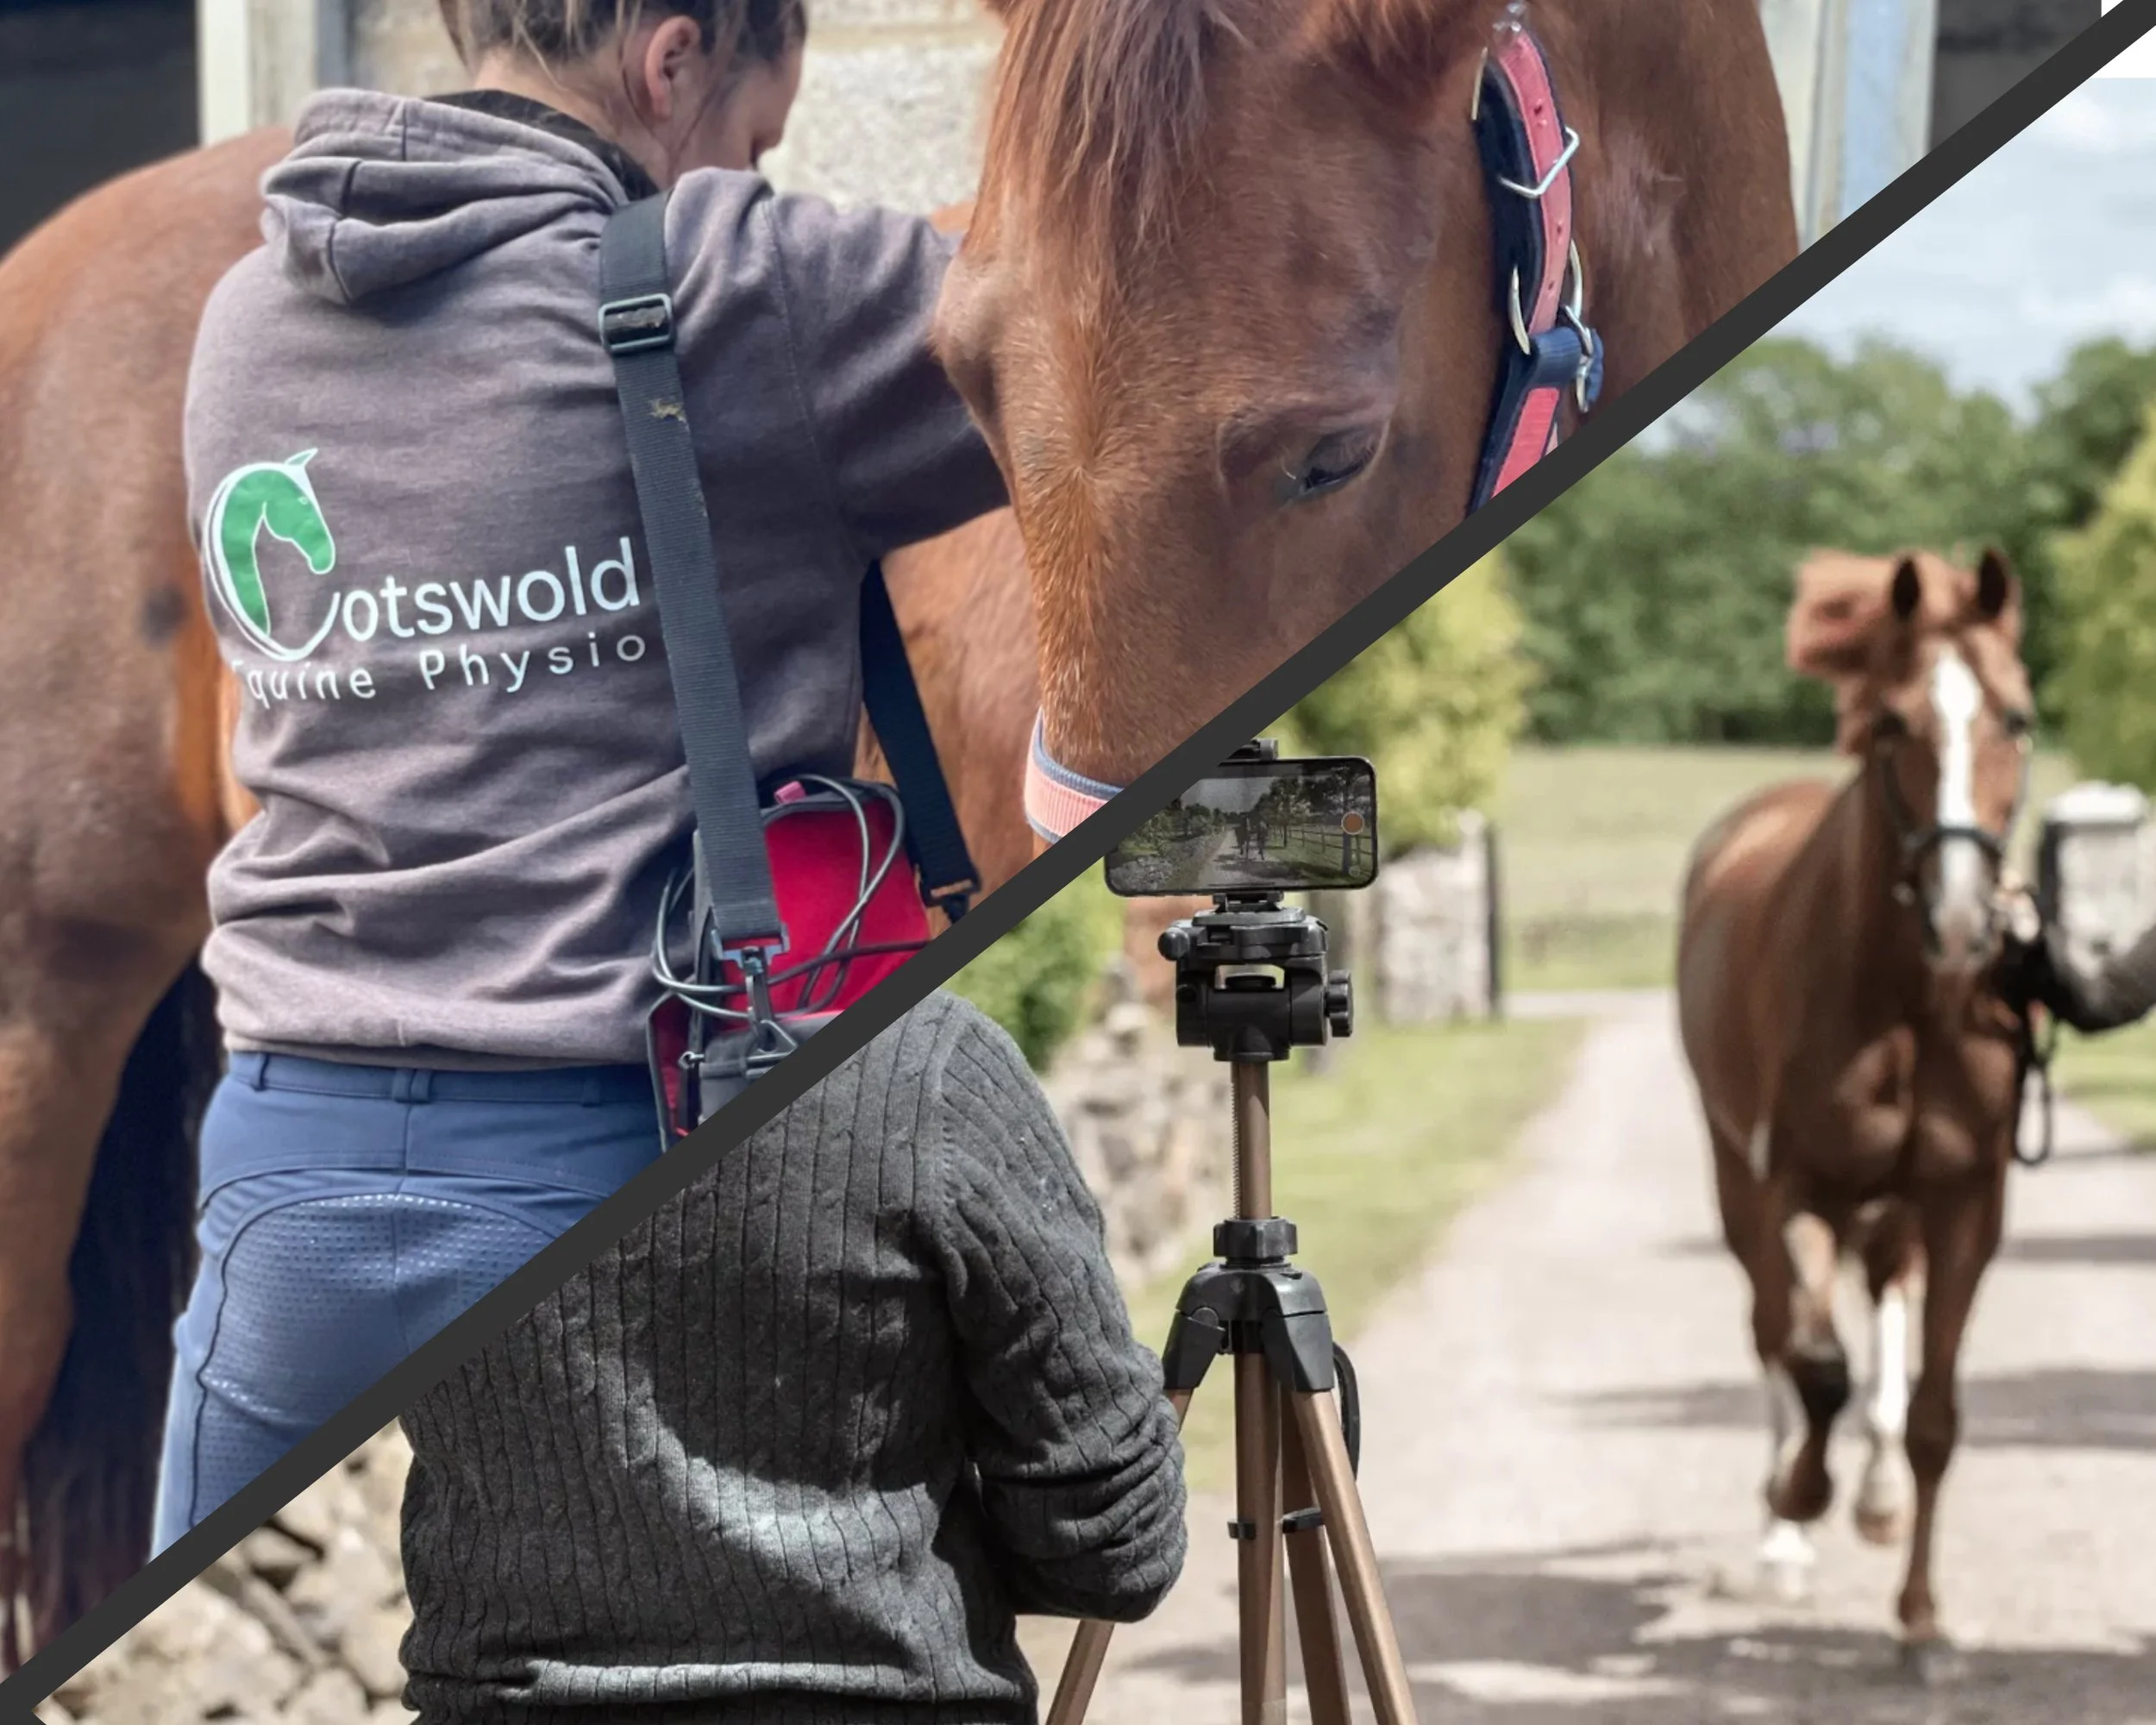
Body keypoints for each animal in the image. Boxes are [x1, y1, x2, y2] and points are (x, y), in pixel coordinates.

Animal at [1675, 549, 2035, 1680]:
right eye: (1892, 724)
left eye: (2016, 717)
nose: (1961, 917)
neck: (1905, 998)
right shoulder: (1799, 1187)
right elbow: (1815, 1366)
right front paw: (1799, 1495)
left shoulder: (1965, 1207)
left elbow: (1930, 1415)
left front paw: (1920, 1619)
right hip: (1738, 1179)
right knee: (1772, 1338)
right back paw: (1783, 1531)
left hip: (1894, 1210)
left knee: (1875, 1310)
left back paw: (1872, 1500)